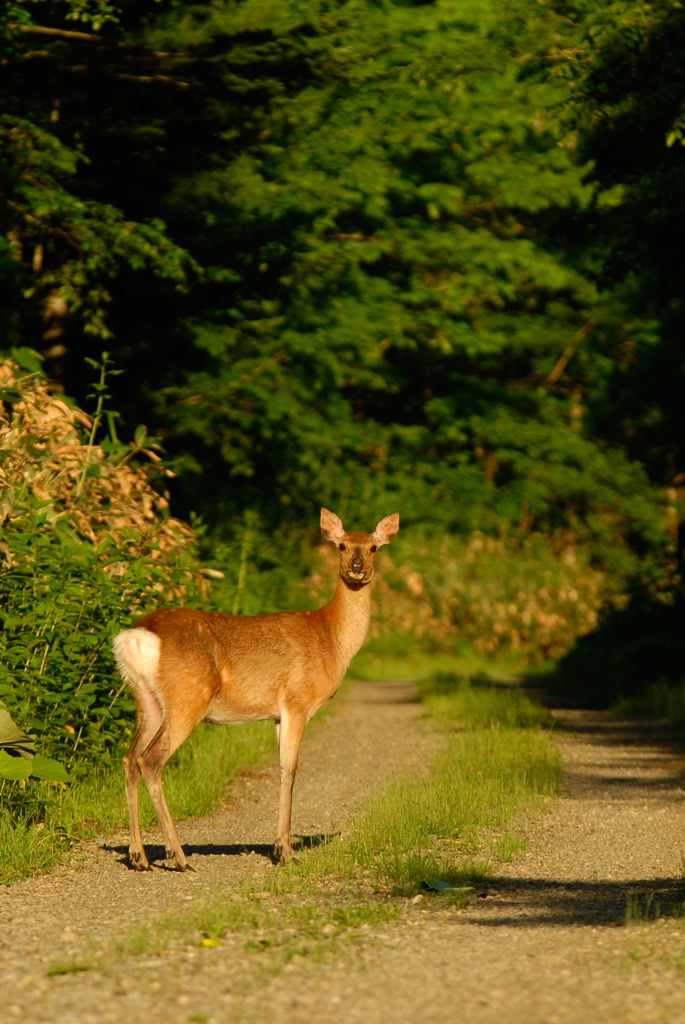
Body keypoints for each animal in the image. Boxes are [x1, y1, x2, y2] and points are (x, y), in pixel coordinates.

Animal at [112, 505, 401, 872]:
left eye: (373, 547)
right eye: (342, 545)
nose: (357, 566)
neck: (330, 638)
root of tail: (137, 636)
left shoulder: (277, 713)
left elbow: (282, 769)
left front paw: (280, 847)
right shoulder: (297, 701)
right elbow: (290, 770)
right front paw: (285, 852)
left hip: (146, 700)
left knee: (130, 758)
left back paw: (139, 856)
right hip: (187, 697)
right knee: (150, 760)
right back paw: (178, 856)